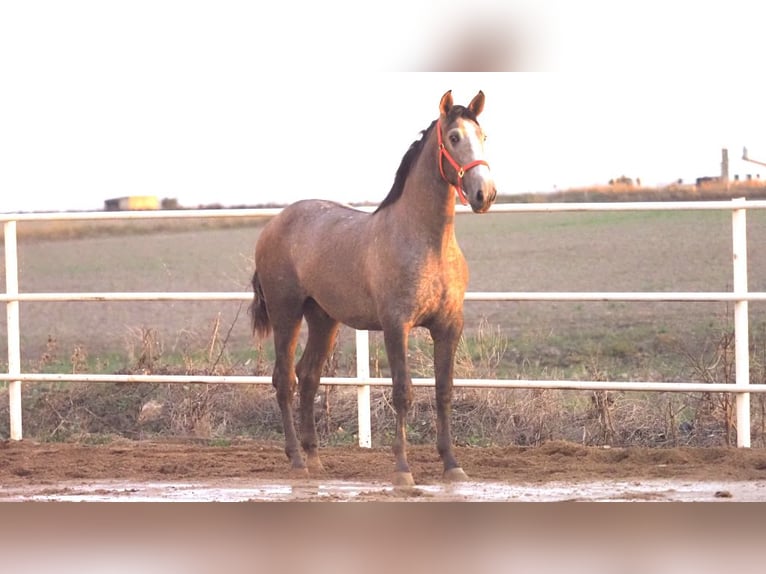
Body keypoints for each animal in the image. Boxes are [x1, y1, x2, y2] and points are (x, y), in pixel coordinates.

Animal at [250, 90, 498, 486]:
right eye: (454, 137)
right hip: (286, 314)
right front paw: (402, 470)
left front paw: (452, 465)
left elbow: (444, 391)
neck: (428, 243)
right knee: (284, 379)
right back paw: (297, 461)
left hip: (324, 320)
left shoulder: (449, 326)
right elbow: (403, 393)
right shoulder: (397, 326)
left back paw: (315, 459)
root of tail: (273, 225)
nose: (484, 194)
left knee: (308, 376)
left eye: (484, 136)